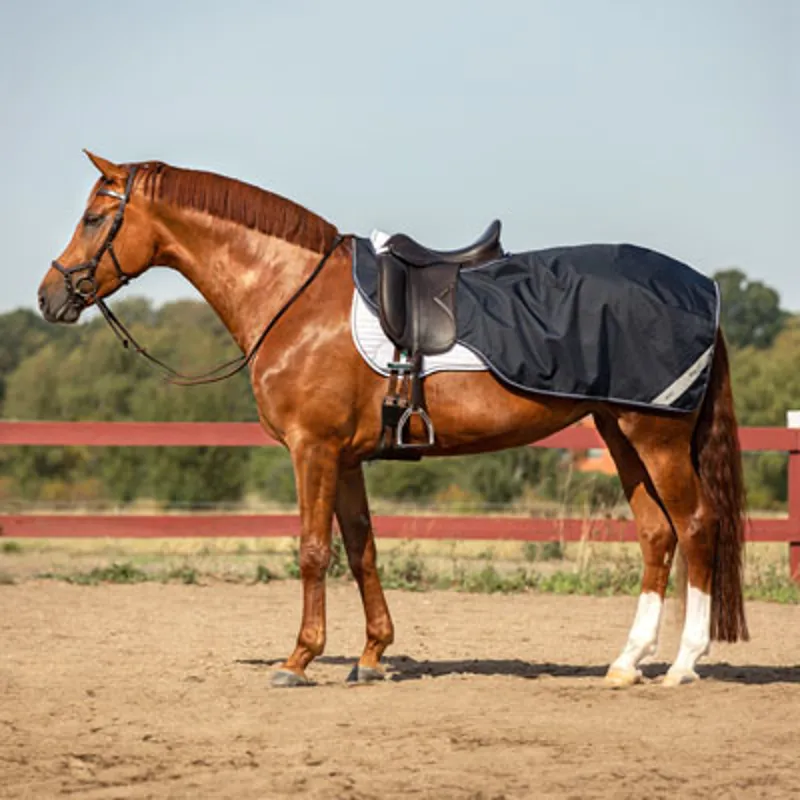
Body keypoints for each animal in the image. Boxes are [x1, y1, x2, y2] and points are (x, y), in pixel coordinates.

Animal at [38, 151, 748, 688]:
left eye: (95, 217)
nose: (50, 296)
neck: (295, 296)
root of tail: (700, 289)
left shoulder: (313, 449)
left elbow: (313, 550)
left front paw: (299, 659)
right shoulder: (347, 457)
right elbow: (362, 550)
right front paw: (373, 655)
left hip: (655, 436)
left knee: (695, 524)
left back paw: (683, 664)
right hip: (620, 433)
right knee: (656, 534)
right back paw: (627, 663)